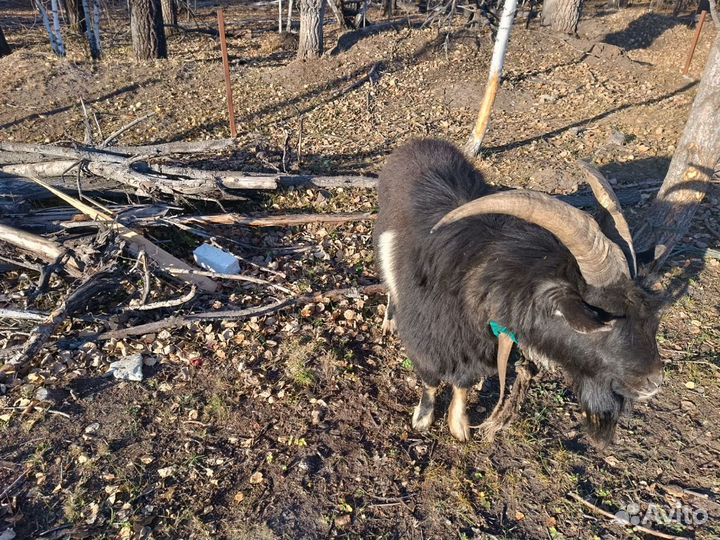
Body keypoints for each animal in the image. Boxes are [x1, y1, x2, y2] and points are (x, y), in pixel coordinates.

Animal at [376, 137, 664, 446]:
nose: (654, 382)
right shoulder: (424, 344)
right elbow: (430, 381)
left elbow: (463, 385)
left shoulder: (479, 350)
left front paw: (459, 425)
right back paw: (388, 320)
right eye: (602, 316)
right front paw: (423, 418)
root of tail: (420, 143)